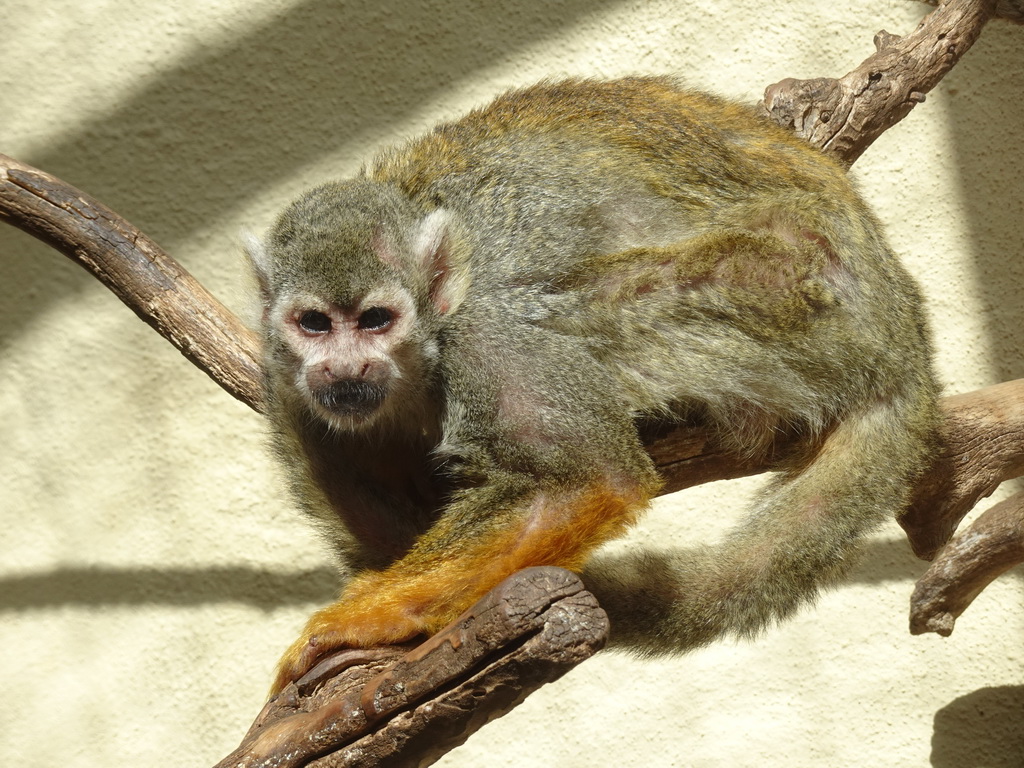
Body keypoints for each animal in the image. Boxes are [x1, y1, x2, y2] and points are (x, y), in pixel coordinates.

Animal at [245, 75, 937, 696]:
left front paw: (365, 620)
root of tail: (905, 337)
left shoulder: (487, 335)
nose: (345, 367)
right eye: (314, 324)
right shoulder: (287, 380)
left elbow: (589, 480)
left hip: (798, 294)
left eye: (376, 320)